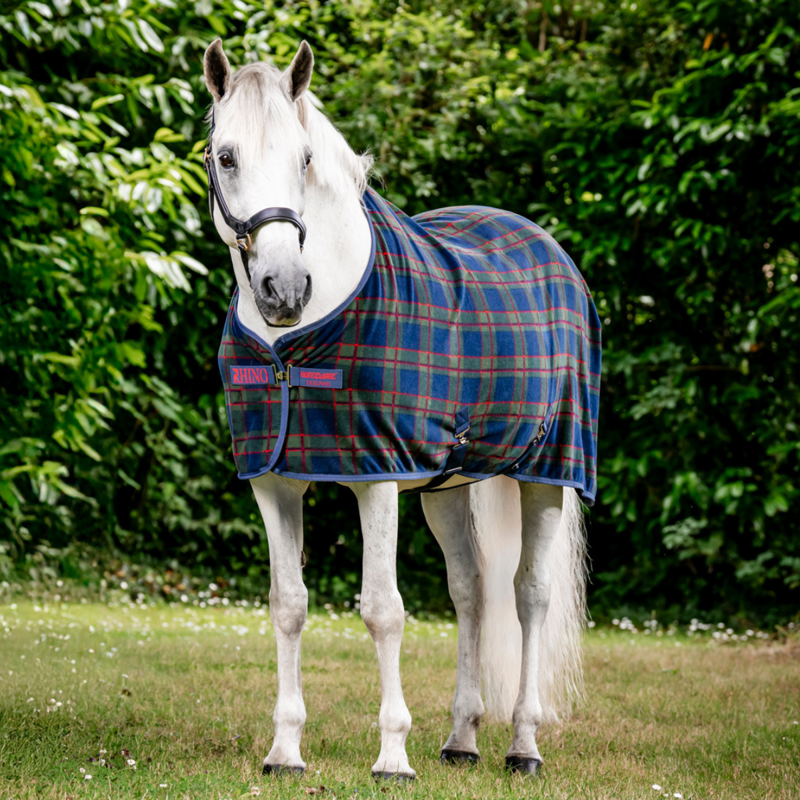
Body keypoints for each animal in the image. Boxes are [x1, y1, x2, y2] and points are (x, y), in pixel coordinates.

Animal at [201, 38, 599, 780]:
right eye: (226, 156)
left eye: (304, 157)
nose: (282, 288)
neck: (296, 341)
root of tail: (546, 244)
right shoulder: (274, 482)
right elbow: (287, 606)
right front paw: (284, 750)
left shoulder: (377, 477)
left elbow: (383, 610)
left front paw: (392, 755)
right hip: (446, 485)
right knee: (471, 589)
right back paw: (461, 738)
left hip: (549, 474)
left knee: (529, 595)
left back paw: (523, 744)